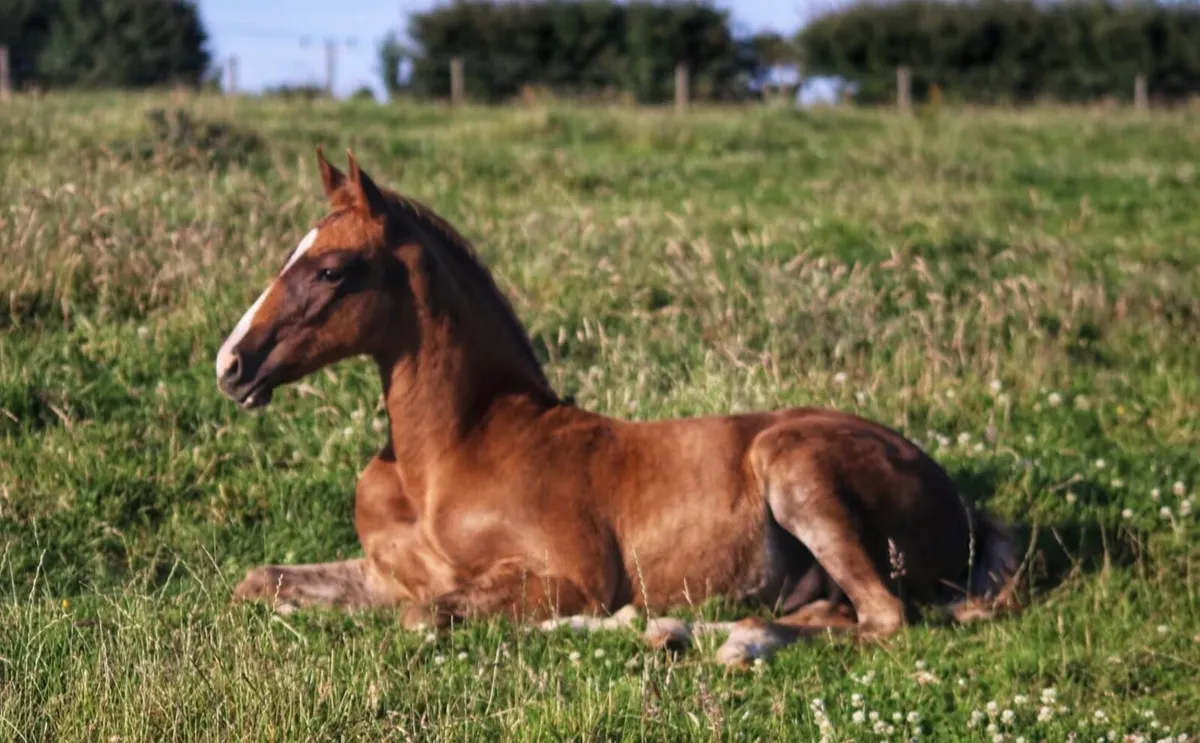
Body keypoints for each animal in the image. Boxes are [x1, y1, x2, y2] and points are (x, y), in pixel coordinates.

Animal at [215, 147, 1019, 666]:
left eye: (330, 269)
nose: (230, 363)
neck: (440, 459)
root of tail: (961, 501)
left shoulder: (569, 577)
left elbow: (427, 615)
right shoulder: (387, 571)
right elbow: (258, 582)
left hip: (795, 464)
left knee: (884, 616)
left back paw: (702, 634)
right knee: (828, 611)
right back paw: (683, 632)